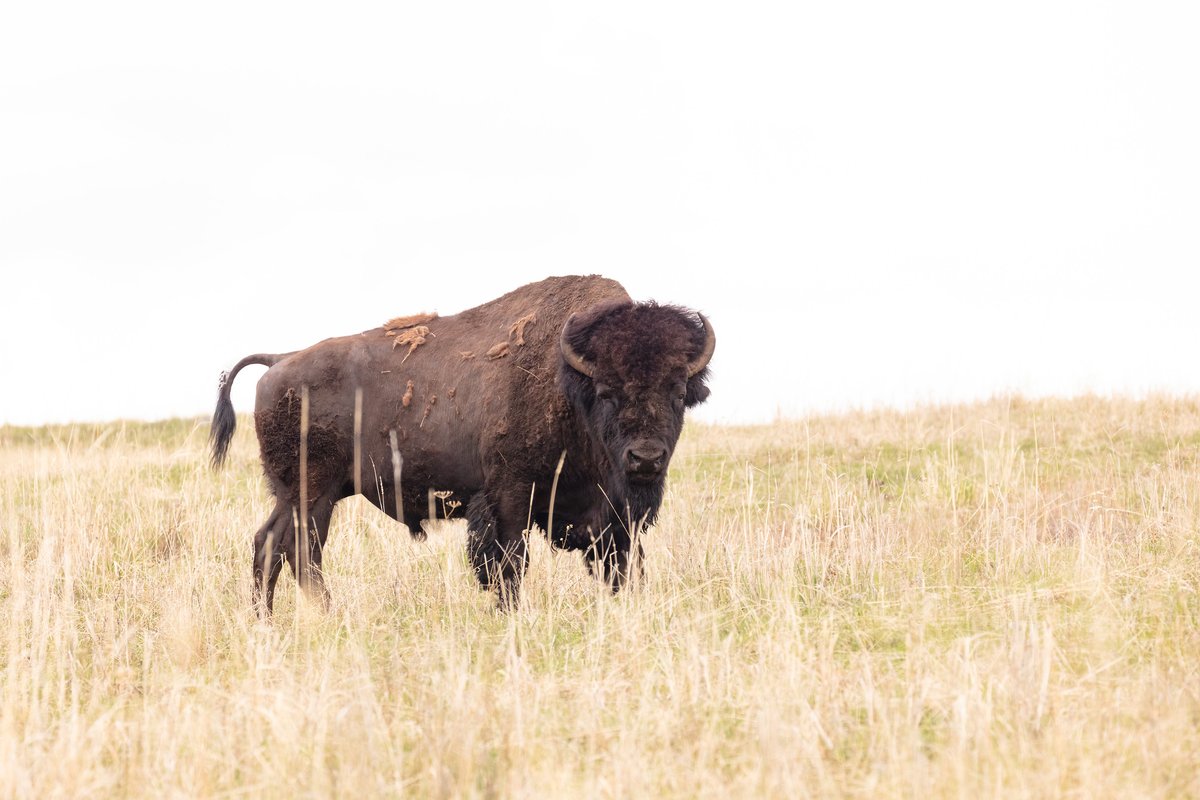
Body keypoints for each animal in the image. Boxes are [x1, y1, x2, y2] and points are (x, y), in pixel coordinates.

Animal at [210, 275, 714, 610]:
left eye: (677, 391)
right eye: (607, 392)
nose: (645, 458)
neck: (571, 385)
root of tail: (281, 360)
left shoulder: (613, 517)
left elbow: (621, 565)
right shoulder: (509, 497)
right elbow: (508, 565)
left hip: (304, 495)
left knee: (275, 546)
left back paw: (272, 620)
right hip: (310, 493)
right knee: (294, 549)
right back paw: (315, 615)